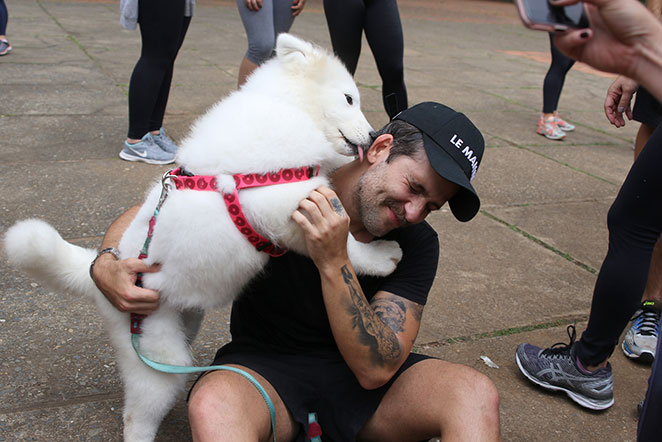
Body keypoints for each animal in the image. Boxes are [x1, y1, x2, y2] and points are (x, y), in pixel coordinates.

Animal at [2, 32, 402, 440]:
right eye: (349, 98)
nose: (374, 135)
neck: (288, 107)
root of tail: (97, 280)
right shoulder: (287, 203)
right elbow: (347, 242)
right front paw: (382, 256)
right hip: (159, 359)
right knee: (136, 417)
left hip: (185, 323)